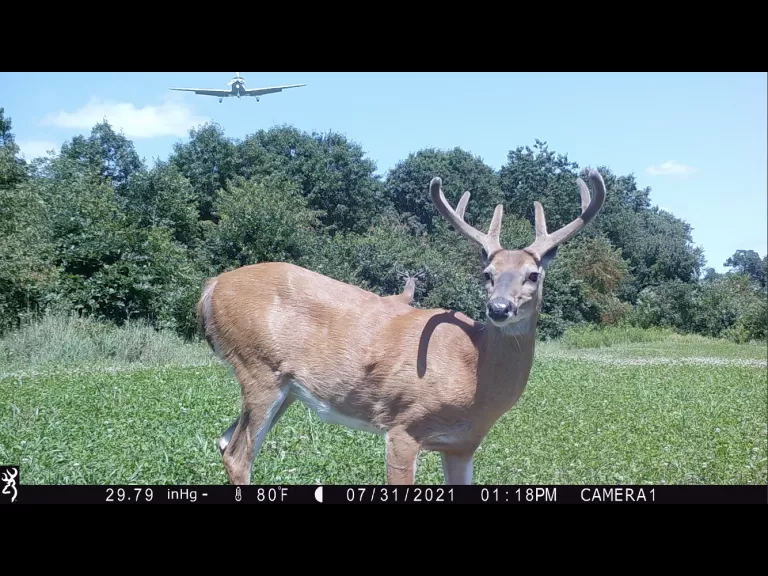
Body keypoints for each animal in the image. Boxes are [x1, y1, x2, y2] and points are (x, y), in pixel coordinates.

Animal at [197, 169, 606, 485]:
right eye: (487, 274)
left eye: (533, 275)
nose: (499, 308)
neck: (473, 371)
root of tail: (212, 287)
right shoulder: (403, 425)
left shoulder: (462, 444)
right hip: (258, 367)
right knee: (238, 454)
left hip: (286, 388)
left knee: (224, 441)